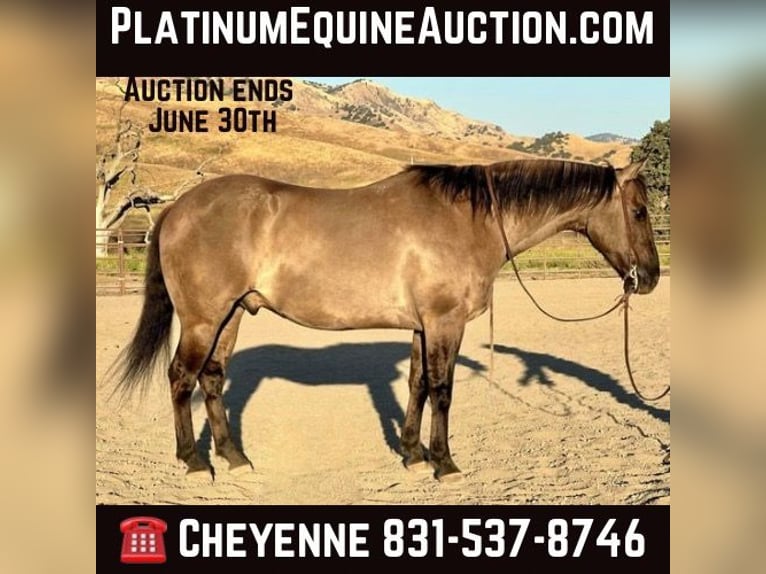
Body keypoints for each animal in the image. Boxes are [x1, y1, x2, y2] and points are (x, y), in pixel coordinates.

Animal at [111, 158, 659, 481]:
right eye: (638, 211)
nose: (650, 277)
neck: (470, 220)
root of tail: (180, 208)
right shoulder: (445, 323)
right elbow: (443, 390)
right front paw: (444, 463)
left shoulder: (422, 326)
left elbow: (417, 385)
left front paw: (413, 454)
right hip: (203, 319)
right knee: (181, 378)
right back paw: (195, 462)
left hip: (231, 316)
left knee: (212, 378)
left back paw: (234, 457)